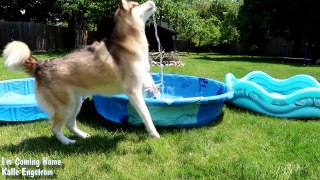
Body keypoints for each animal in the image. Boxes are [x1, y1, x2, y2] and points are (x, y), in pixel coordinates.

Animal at [2, 0, 160, 143]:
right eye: (136, 4)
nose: (152, 1)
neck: (129, 42)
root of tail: (40, 64)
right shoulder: (134, 92)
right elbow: (146, 114)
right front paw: (154, 134)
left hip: (76, 102)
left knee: (69, 124)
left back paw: (83, 136)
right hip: (66, 106)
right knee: (55, 128)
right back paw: (67, 142)